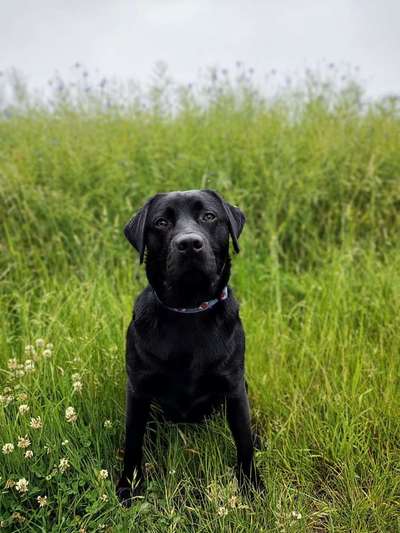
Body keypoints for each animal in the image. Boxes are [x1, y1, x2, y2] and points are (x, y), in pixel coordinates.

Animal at [117, 188, 260, 502]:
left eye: (208, 216)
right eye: (161, 222)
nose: (189, 244)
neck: (189, 310)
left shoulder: (234, 388)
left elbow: (243, 440)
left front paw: (252, 486)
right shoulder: (138, 390)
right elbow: (133, 442)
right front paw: (128, 487)